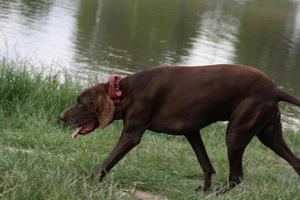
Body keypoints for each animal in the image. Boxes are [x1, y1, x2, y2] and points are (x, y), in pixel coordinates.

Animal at [59, 64, 300, 194]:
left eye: (81, 103)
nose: (60, 117)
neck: (123, 92)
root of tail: (276, 90)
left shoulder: (131, 135)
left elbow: (105, 163)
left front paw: (86, 181)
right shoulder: (191, 132)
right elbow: (206, 164)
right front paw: (204, 189)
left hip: (236, 133)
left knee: (237, 177)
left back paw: (219, 194)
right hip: (270, 135)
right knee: (296, 163)